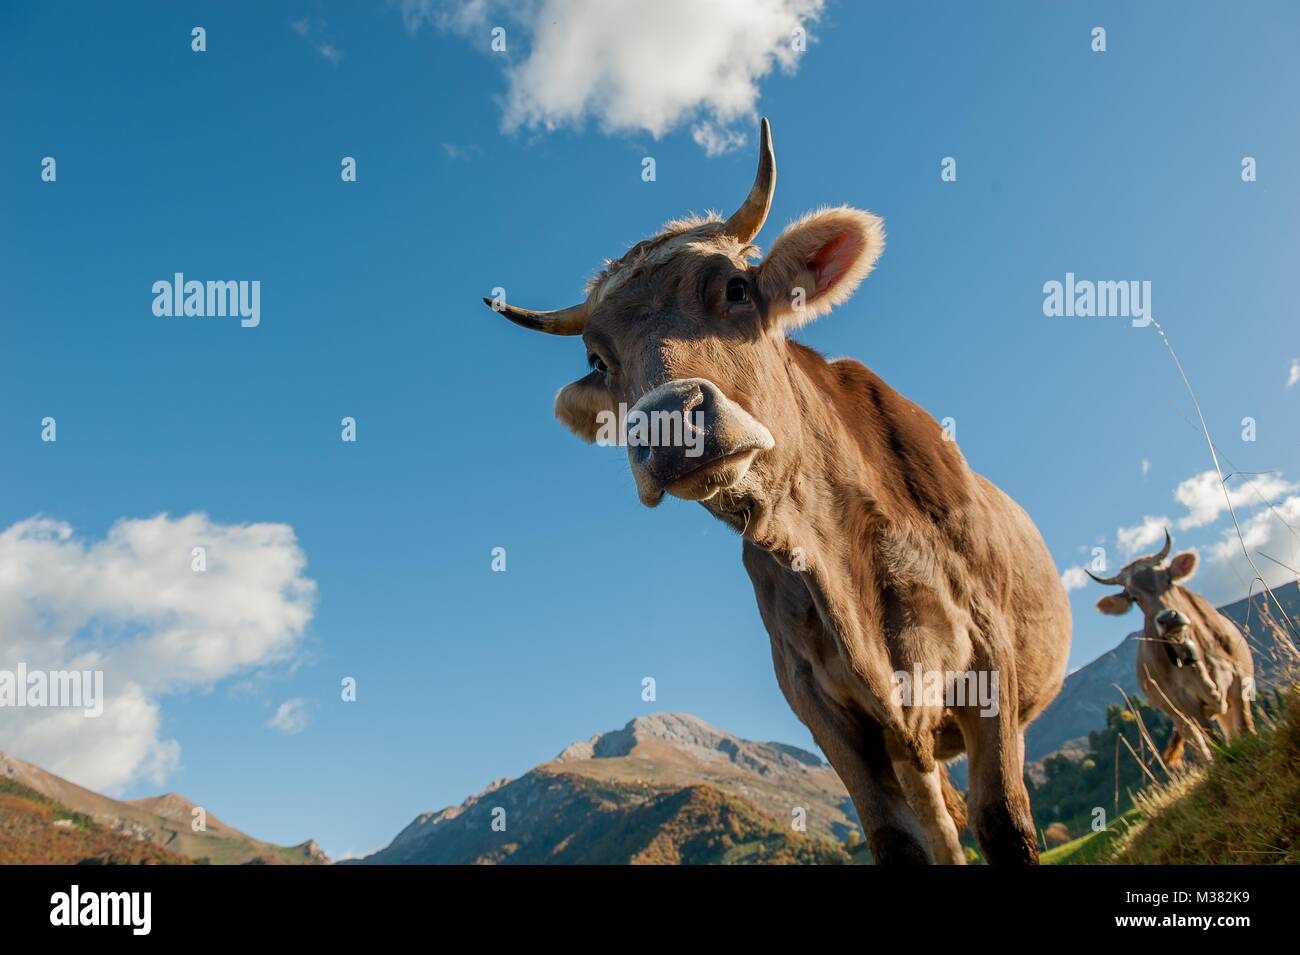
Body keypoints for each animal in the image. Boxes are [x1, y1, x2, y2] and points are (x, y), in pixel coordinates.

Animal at [484, 119, 1071, 864]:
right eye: (597, 358)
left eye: (736, 287)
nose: (667, 422)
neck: (834, 554)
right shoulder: (818, 704)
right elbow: (899, 841)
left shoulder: (988, 656)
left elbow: (1006, 821)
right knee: (940, 828)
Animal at [1088, 531, 1256, 765]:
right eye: (1134, 598)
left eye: (1167, 579)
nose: (1168, 619)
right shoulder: (1186, 703)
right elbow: (1216, 744)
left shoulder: (1239, 680)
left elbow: (1246, 730)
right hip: (1178, 717)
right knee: (1201, 749)